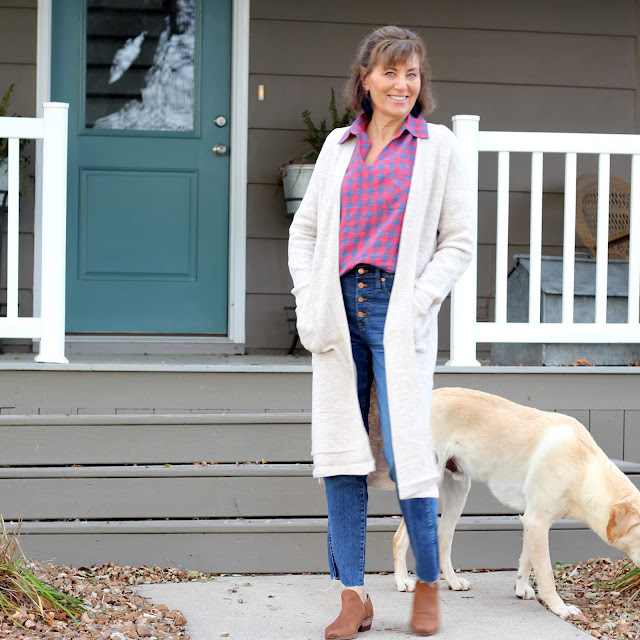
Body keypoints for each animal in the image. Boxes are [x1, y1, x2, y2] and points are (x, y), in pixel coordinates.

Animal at [392, 388, 640, 616]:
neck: (584, 468)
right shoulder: (537, 522)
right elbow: (546, 574)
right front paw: (560, 608)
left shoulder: (532, 521)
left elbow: (527, 560)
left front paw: (521, 588)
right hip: (426, 488)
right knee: (400, 538)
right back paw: (402, 581)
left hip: (458, 490)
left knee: (444, 538)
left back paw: (452, 582)